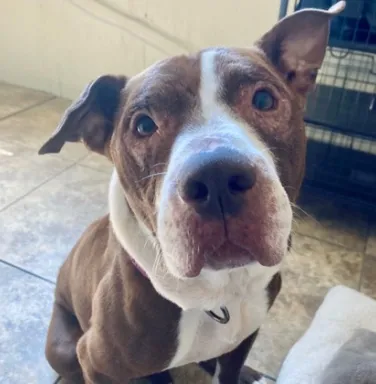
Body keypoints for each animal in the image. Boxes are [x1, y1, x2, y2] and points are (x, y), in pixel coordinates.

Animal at [39, 3, 346, 384]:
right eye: (143, 125)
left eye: (263, 99)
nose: (217, 178)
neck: (218, 295)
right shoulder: (96, 360)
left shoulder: (244, 338)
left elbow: (230, 370)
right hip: (64, 349)